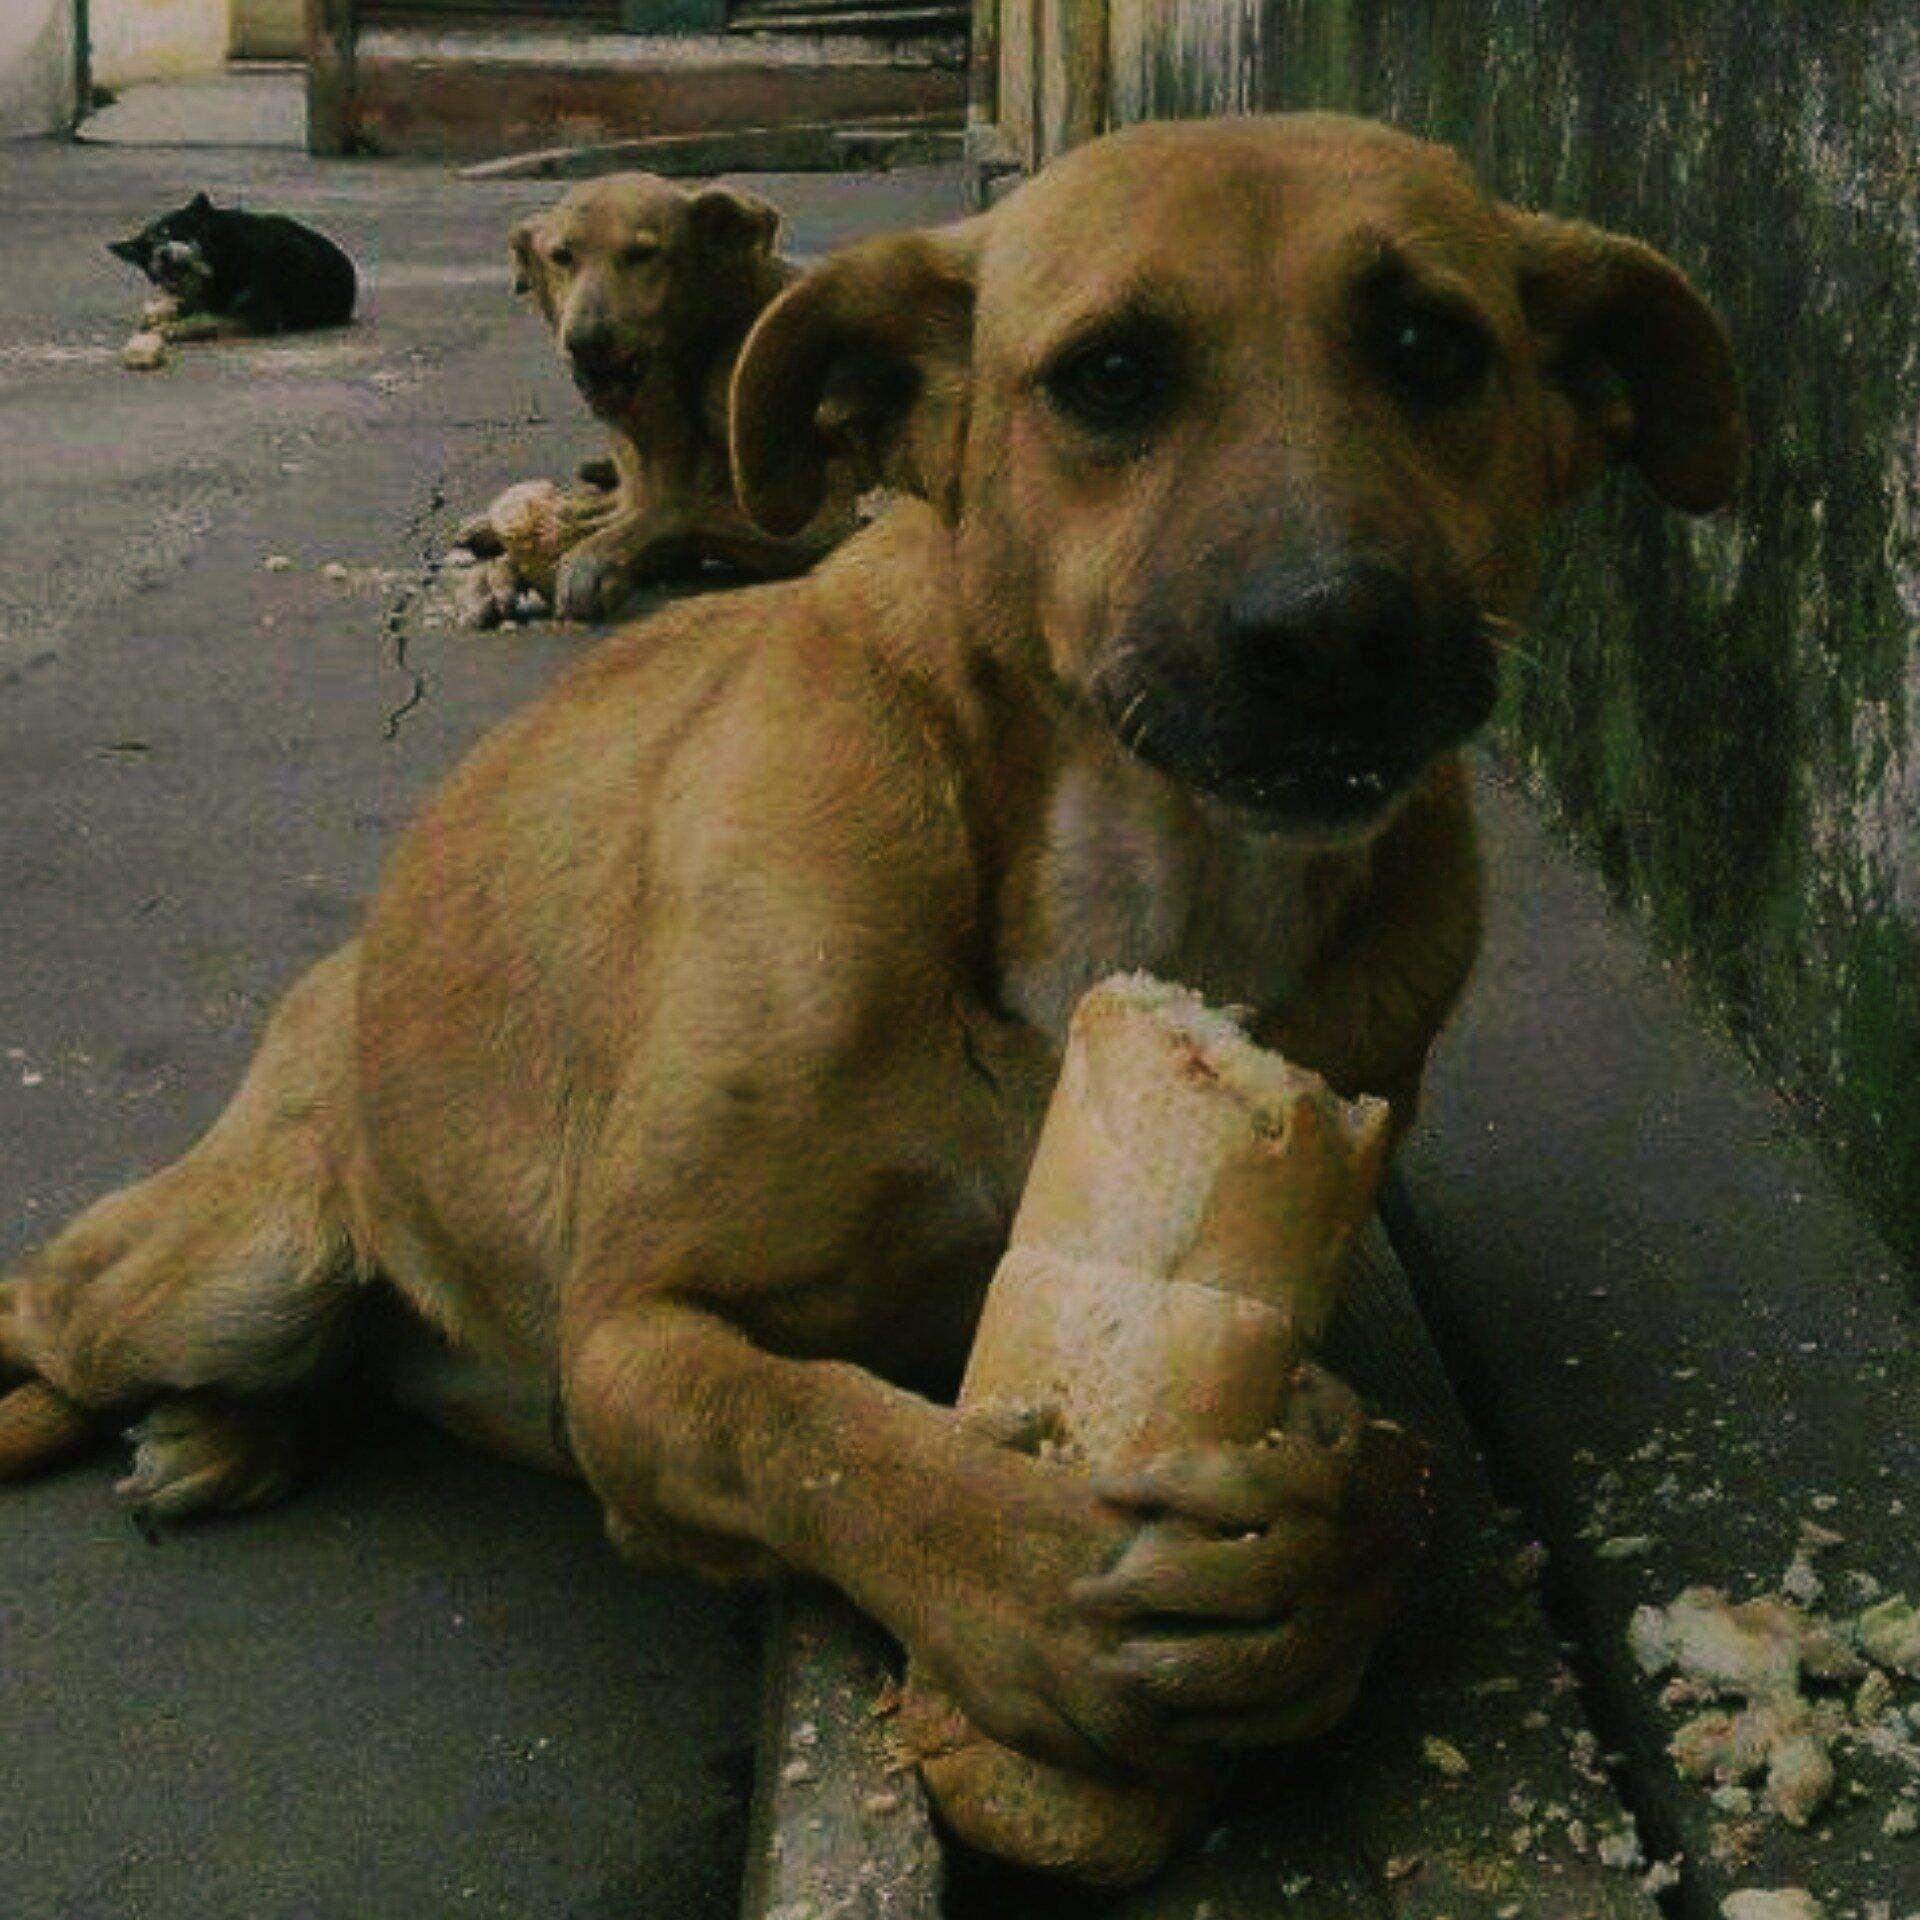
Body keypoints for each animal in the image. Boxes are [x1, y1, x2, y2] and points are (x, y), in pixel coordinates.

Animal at [108, 192, 359, 336]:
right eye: (147, 249)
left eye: (169, 232)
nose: (162, 255)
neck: (221, 261)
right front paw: (161, 316)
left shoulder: (258, 316)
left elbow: (207, 321)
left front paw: (173, 328)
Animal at [506, 169, 860, 622]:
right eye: (561, 256)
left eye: (642, 254)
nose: (585, 343)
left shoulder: (819, 521)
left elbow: (678, 510)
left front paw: (594, 556)